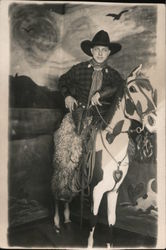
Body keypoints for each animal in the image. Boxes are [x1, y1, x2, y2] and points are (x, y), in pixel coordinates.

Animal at [88, 63, 157, 247]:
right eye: (132, 89)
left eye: (151, 90)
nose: (154, 121)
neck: (113, 145)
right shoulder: (96, 190)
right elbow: (93, 221)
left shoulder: (114, 191)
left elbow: (111, 221)